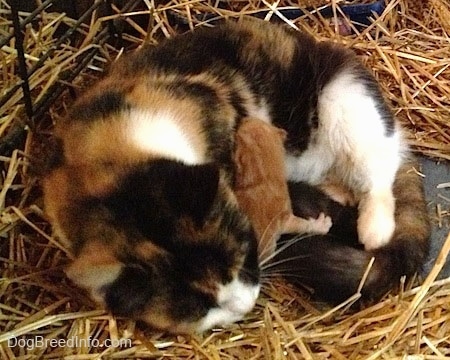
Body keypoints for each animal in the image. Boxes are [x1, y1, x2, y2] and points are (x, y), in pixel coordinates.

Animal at [234, 118, 332, 262]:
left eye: (249, 122)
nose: (242, 119)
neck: (262, 177)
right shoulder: (283, 215)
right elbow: (300, 225)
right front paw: (321, 224)